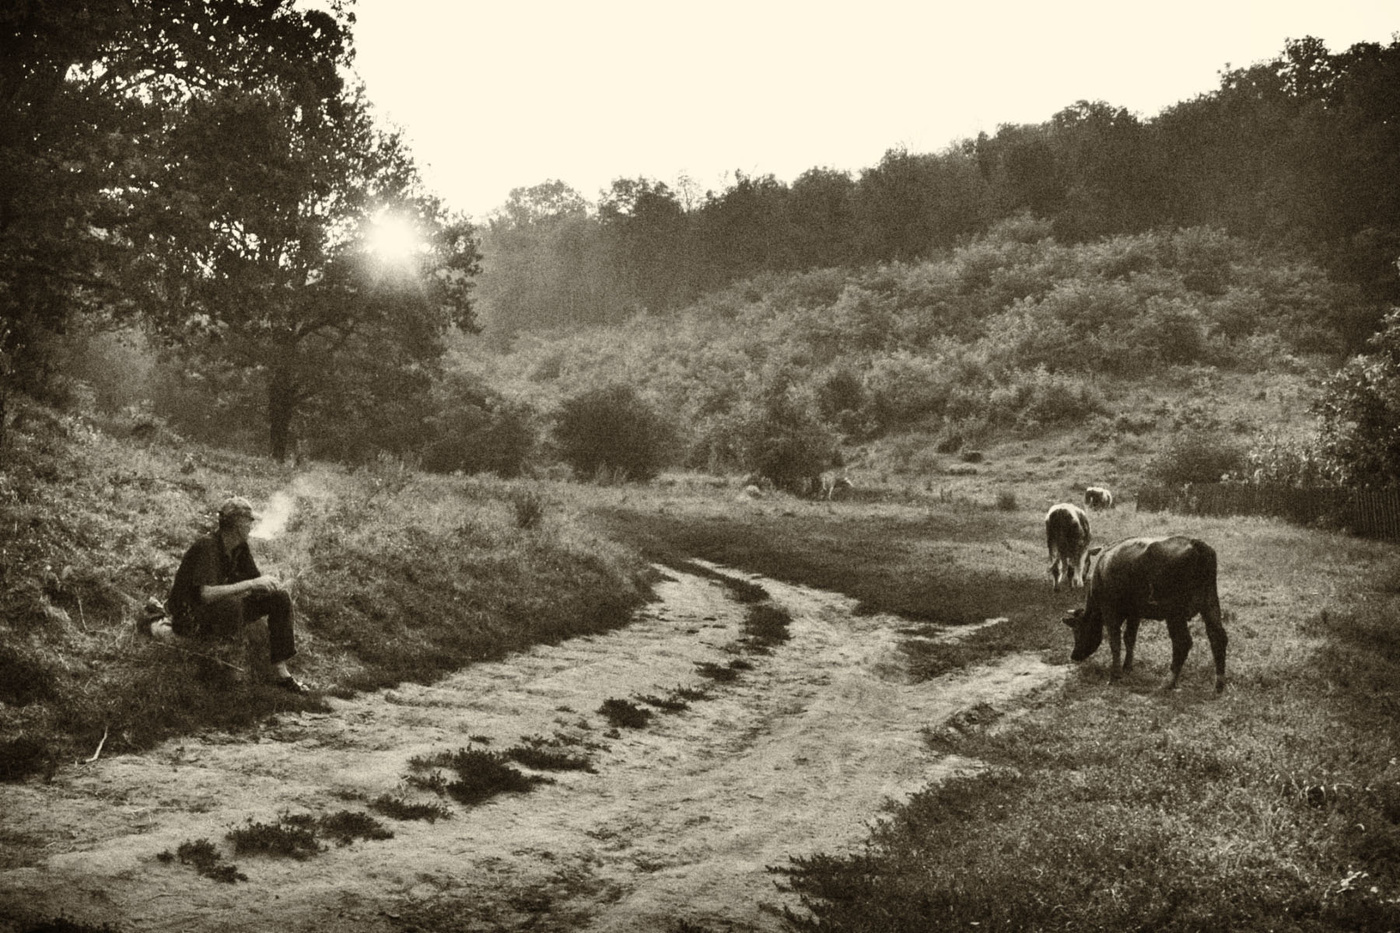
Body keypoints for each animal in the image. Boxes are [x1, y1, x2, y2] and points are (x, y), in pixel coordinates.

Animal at [1058, 529, 1226, 689]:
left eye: (1077, 630)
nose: (1074, 656)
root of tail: (1195, 543)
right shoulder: (1135, 613)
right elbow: (1129, 638)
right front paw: (1127, 667)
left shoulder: (1110, 611)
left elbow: (1115, 642)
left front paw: (1115, 675)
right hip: (1210, 603)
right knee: (1218, 637)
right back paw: (1219, 684)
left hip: (1175, 613)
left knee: (1182, 642)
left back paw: (1169, 682)